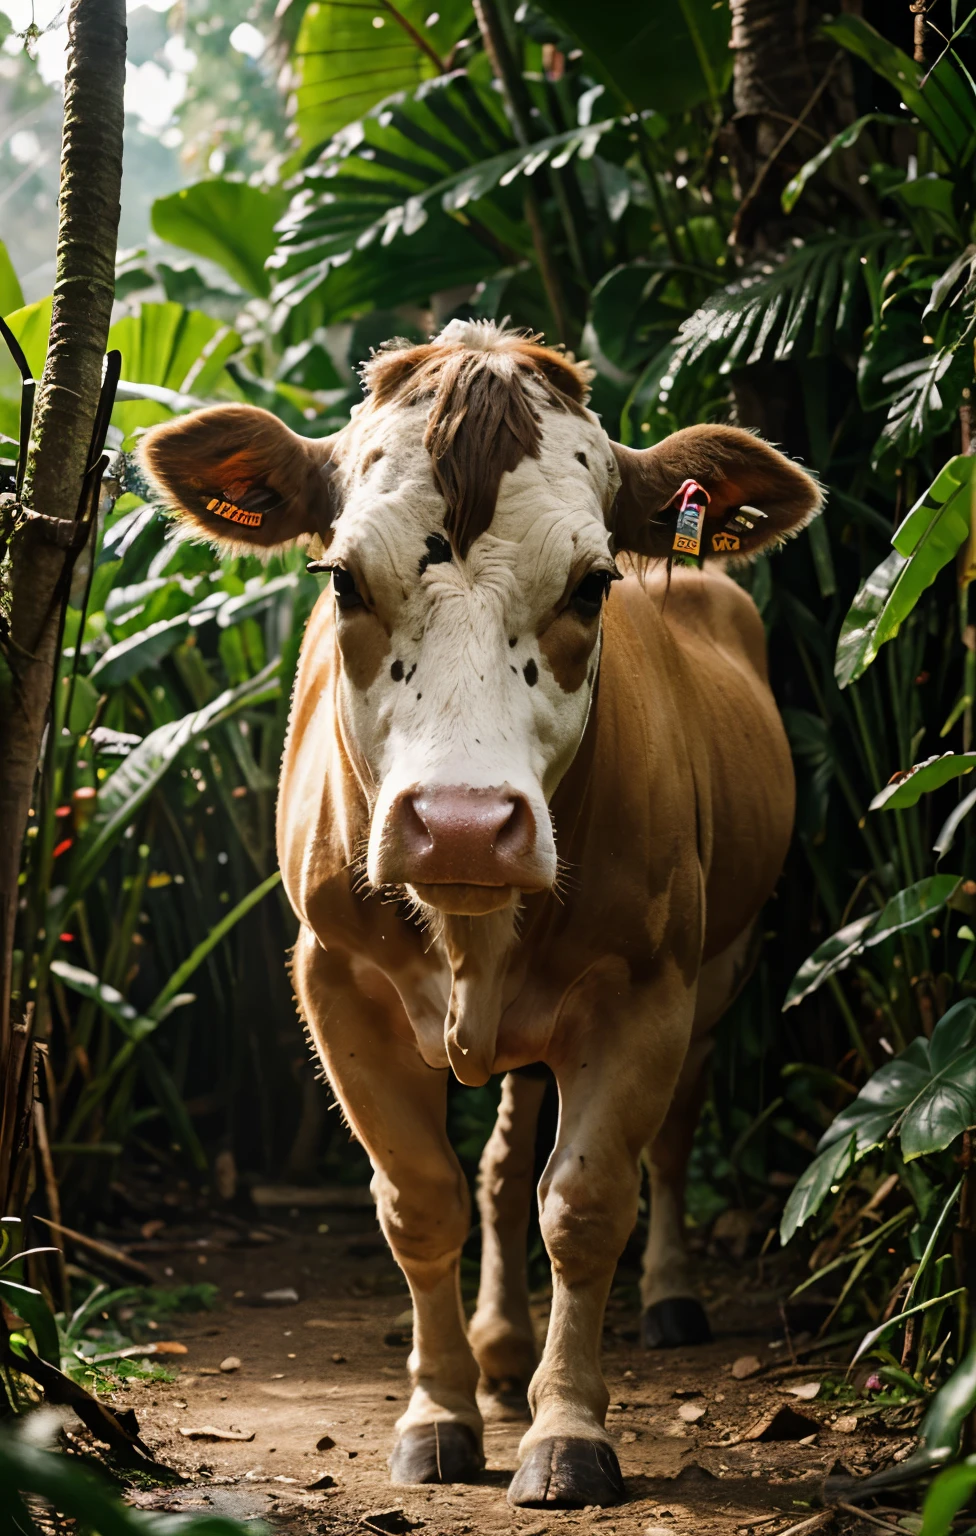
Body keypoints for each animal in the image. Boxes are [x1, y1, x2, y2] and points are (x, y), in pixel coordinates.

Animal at [142, 317, 817, 1505]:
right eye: (340, 578)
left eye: (593, 584)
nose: (460, 827)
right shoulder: (334, 982)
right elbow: (425, 1201)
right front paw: (441, 1412)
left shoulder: (646, 990)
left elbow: (586, 1204)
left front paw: (568, 1431)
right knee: (502, 1169)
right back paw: (501, 1359)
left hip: (719, 969)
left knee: (673, 1139)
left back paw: (665, 1298)